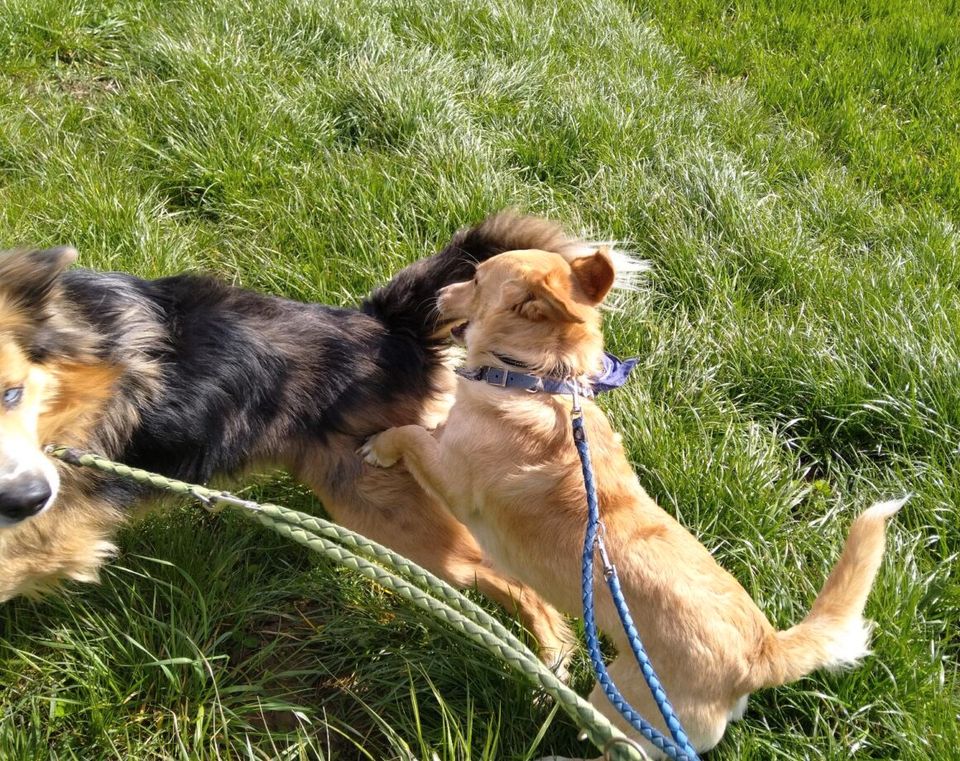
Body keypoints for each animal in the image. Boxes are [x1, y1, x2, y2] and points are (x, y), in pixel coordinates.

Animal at [0, 212, 576, 664]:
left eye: (12, 394)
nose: (29, 497)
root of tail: (389, 331)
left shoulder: (62, 519)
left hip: (386, 507)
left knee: (510, 580)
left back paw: (551, 661)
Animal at [364, 248, 904, 756]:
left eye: (475, 281)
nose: (439, 293)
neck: (538, 382)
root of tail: (760, 656)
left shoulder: (449, 475)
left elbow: (411, 434)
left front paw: (378, 446)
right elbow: (429, 421)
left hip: (620, 705)